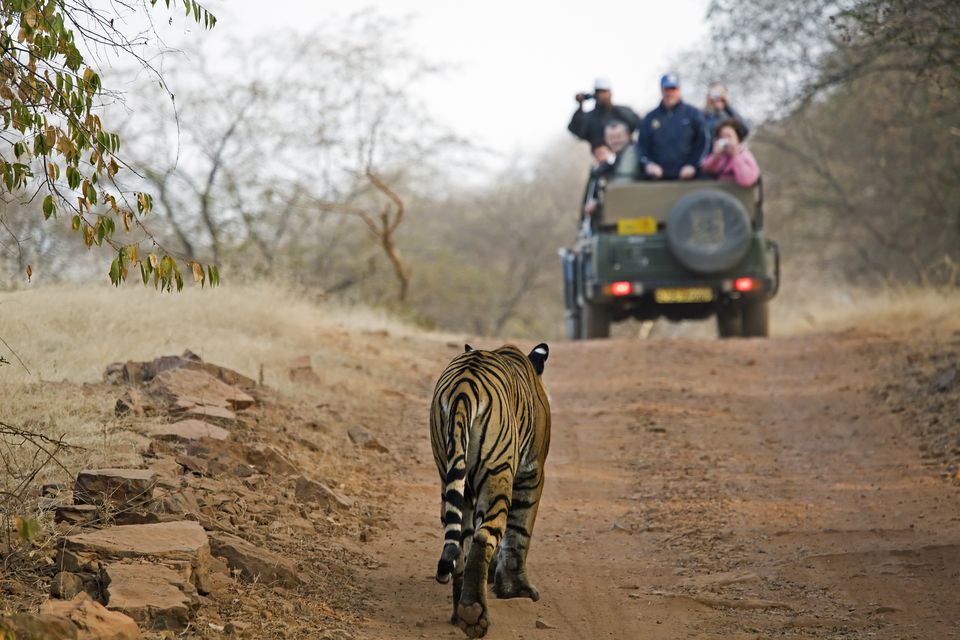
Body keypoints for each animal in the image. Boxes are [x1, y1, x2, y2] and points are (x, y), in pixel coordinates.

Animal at [432, 342, 552, 636]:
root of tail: (463, 388)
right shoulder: (531, 473)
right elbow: (519, 532)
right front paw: (516, 590)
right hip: (497, 473)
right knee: (483, 536)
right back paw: (474, 614)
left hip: (451, 472)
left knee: (461, 543)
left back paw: (461, 613)